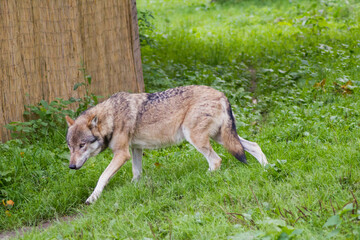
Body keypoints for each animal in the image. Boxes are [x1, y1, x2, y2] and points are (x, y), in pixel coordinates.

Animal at [65, 85, 268, 203]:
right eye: (70, 147)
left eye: (82, 145)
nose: (71, 166)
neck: (111, 117)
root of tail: (221, 94)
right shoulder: (136, 149)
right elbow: (136, 173)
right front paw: (133, 188)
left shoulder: (122, 154)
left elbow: (102, 176)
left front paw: (92, 198)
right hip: (221, 138)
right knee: (254, 145)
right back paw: (267, 168)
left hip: (195, 137)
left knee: (216, 160)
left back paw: (201, 178)